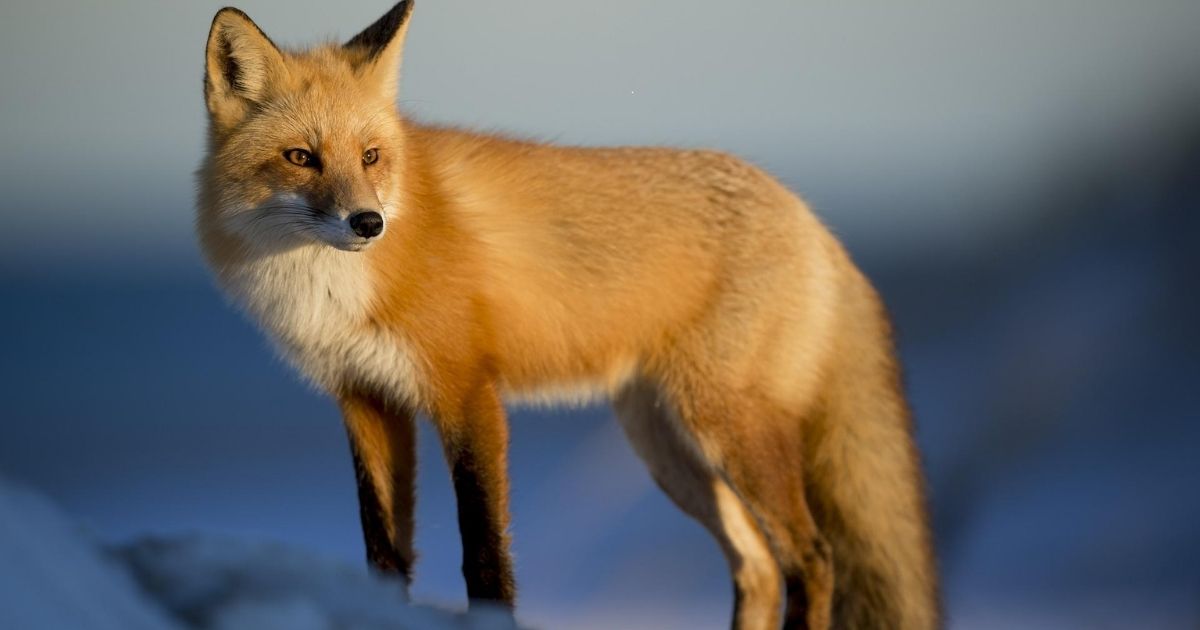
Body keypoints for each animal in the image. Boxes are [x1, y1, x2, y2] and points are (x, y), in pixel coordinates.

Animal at [196, 2, 939, 629]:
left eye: (371, 156)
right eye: (301, 157)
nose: (368, 223)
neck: (331, 289)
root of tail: (811, 218)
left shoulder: (467, 392)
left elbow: (484, 554)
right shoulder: (365, 398)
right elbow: (384, 552)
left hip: (728, 429)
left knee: (811, 559)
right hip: (667, 448)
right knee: (756, 565)